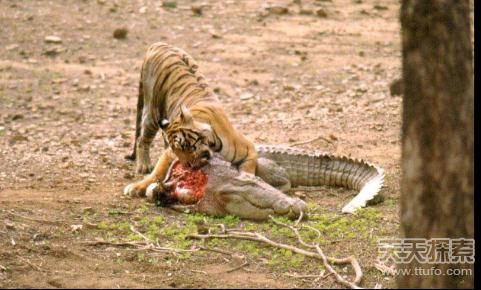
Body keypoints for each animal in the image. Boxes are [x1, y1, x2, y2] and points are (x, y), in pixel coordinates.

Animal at [124, 42, 258, 197]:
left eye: (184, 146)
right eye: (176, 151)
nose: (186, 165)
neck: (213, 144)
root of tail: (159, 44)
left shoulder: (249, 149)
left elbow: (248, 169)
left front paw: (249, 181)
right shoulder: (168, 154)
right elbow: (157, 172)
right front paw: (137, 186)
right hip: (152, 113)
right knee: (142, 140)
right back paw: (144, 166)